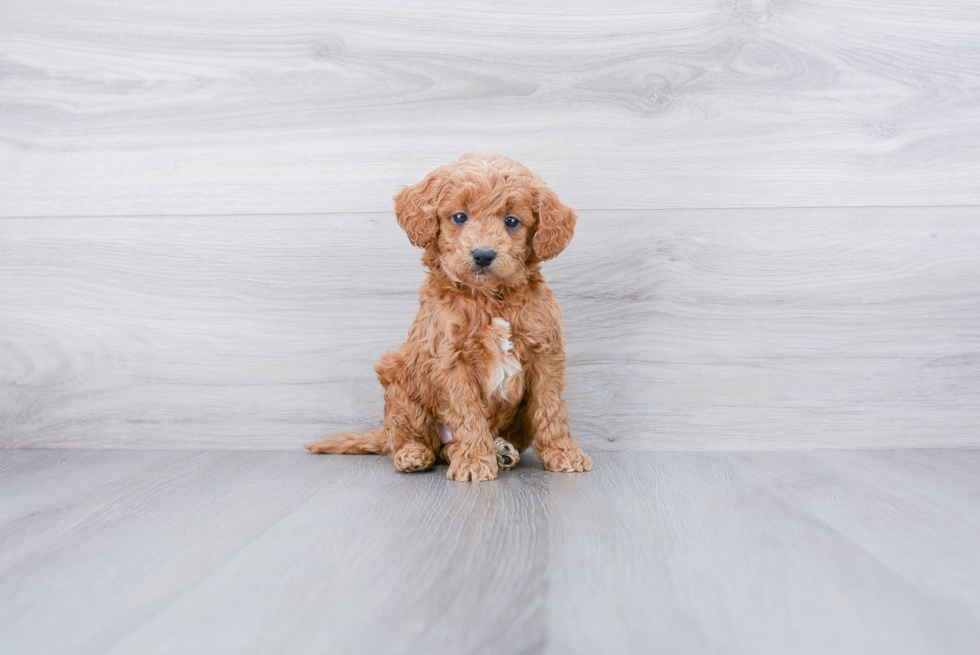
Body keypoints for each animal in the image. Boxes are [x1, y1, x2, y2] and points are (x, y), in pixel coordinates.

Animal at [306, 154, 592, 482]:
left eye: (511, 221)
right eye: (459, 217)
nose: (483, 255)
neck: (489, 298)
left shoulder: (543, 353)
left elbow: (551, 408)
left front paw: (563, 452)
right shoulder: (451, 359)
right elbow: (468, 413)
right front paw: (474, 461)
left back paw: (501, 451)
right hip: (400, 382)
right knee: (415, 438)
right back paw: (416, 454)